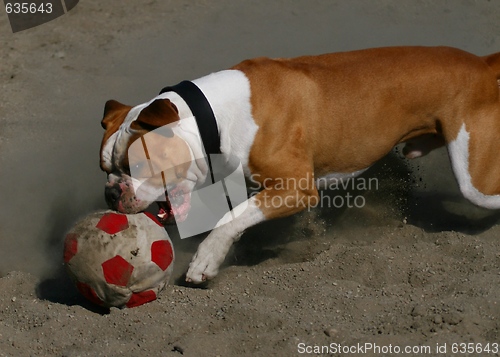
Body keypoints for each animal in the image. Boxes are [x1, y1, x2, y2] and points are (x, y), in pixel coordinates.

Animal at [99, 46, 500, 282]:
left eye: (136, 167)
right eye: (106, 169)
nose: (111, 193)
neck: (212, 115)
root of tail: (481, 64)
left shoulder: (295, 189)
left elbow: (230, 218)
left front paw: (205, 261)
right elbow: (237, 215)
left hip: (474, 181)